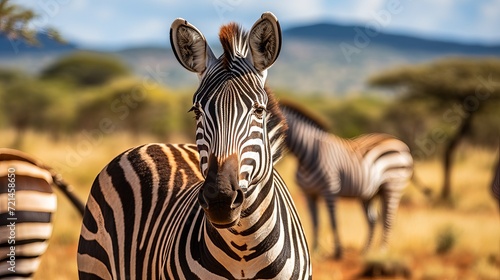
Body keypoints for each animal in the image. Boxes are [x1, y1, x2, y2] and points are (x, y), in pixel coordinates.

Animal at [280, 101, 412, 258]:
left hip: (393, 186)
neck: (307, 155)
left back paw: (382, 252)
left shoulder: (330, 190)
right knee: (373, 220)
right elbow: (315, 223)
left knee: (388, 219)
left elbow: (333, 221)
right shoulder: (309, 193)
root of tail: (400, 143)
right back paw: (366, 250)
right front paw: (314, 251)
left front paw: (338, 252)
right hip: (371, 193)